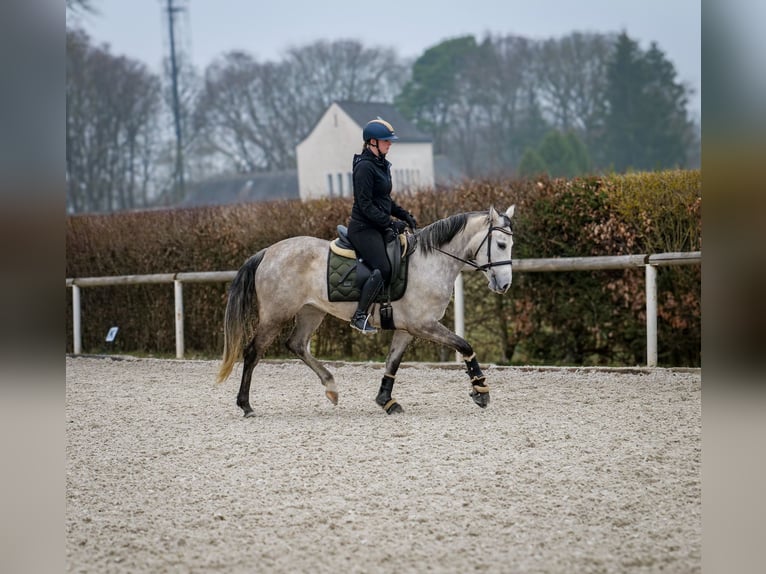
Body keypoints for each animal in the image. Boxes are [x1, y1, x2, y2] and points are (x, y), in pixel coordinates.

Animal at [216, 207, 516, 418]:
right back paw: (246, 405)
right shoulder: (424, 324)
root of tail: (268, 252)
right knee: (253, 352)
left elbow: (392, 363)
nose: (504, 286)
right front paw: (481, 391)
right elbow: (464, 346)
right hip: (275, 315)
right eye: (501, 244)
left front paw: (386, 401)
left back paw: (331, 388)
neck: (431, 261)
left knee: (297, 344)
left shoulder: (407, 328)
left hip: (311, 311)